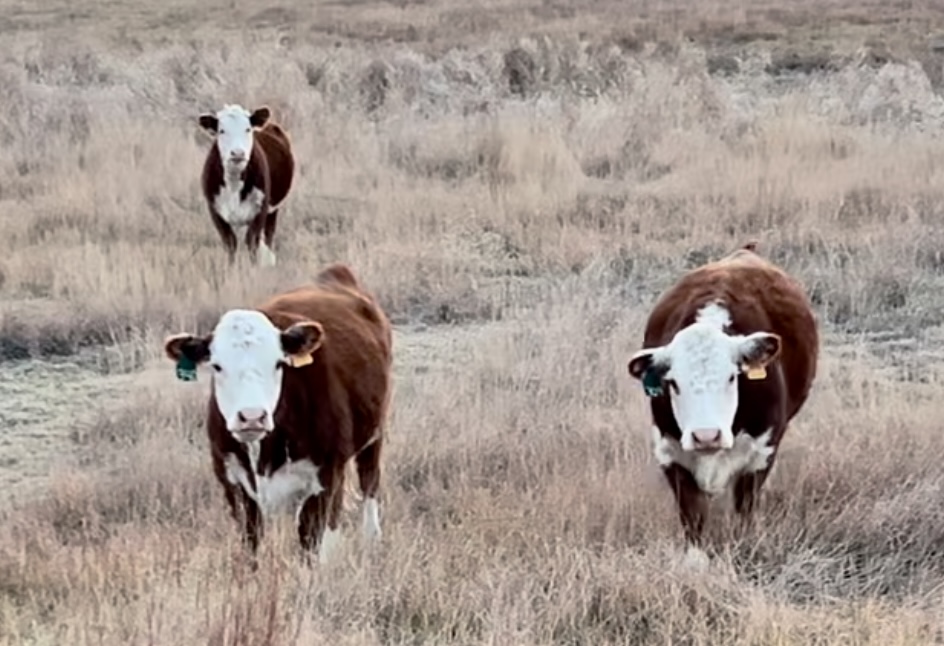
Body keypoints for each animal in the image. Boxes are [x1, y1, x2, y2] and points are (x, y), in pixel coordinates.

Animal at [164, 266, 392, 564]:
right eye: (217, 366)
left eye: (278, 363)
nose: (251, 416)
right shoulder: (233, 484)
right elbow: (251, 545)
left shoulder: (327, 476)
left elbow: (313, 546)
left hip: (374, 433)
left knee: (369, 481)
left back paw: (372, 538)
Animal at [201, 105, 296, 268]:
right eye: (222, 130)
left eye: (247, 129)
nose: (238, 153)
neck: (234, 183)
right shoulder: (215, 210)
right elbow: (230, 243)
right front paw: (230, 269)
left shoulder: (261, 208)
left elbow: (252, 241)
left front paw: (253, 269)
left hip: (273, 210)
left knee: (269, 235)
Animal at [628, 243, 820, 560]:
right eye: (673, 383)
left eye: (732, 377)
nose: (706, 436)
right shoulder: (669, 452)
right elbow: (693, 518)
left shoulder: (761, 453)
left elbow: (744, 511)